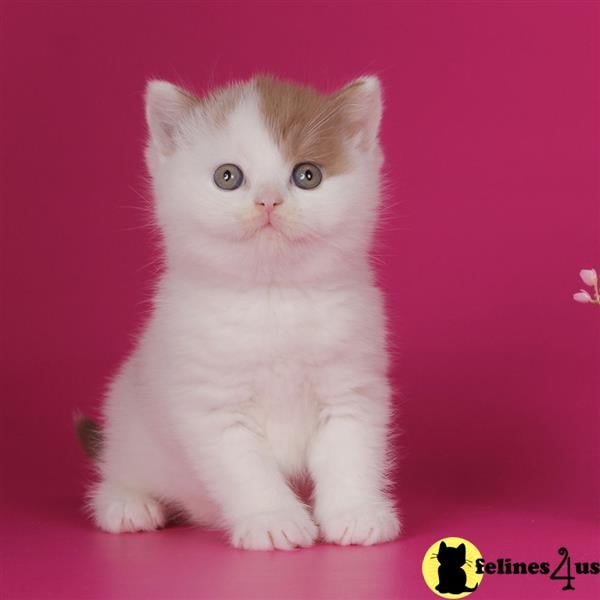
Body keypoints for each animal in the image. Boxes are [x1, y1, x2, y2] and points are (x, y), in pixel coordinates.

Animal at [83, 74, 404, 548]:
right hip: (128, 418)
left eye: (307, 175)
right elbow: (245, 470)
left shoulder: (352, 386)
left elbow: (351, 450)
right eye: (228, 176)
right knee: (120, 467)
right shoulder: (212, 405)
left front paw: (355, 511)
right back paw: (126, 504)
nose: (268, 201)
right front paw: (273, 519)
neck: (273, 298)